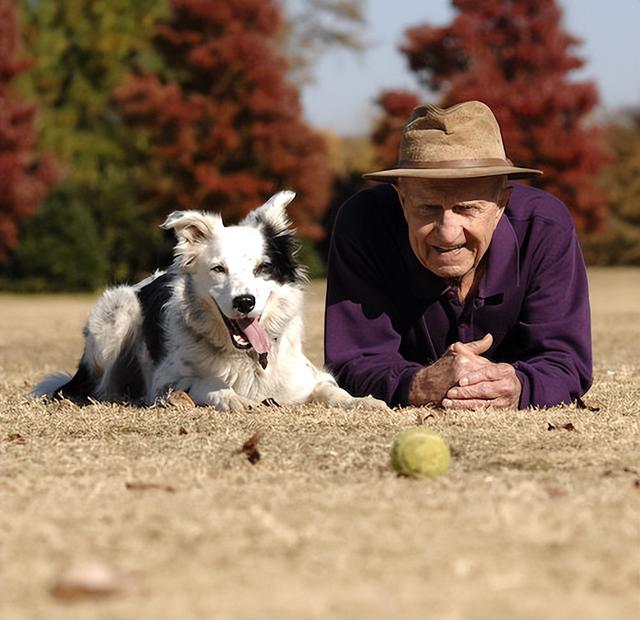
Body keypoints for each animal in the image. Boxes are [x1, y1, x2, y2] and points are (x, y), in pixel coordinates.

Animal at [33, 191, 384, 410]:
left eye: (262, 268)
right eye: (219, 269)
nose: (245, 302)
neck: (247, 359)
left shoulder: (307, 378)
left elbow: (333, 390)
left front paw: (363, 401)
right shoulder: (167, 380)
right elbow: (207, 385)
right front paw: (233, 398)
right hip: (117, 315)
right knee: (100, 387)